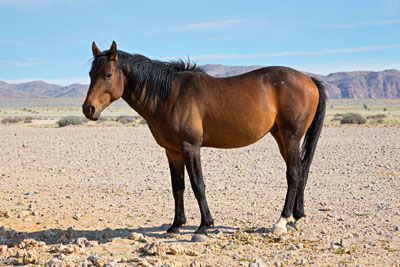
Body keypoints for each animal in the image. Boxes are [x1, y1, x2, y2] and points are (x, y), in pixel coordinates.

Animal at [83, 41, 326, 243]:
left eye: (107, 74)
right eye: (90, 74)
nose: (88, 109)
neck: (170, 95)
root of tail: (309, 80)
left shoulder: (190, 147)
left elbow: (198, 185)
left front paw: (203, 227)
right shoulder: (172, 151)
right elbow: (178, 187)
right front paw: (176, 225)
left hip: (291, 136)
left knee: (293, 174)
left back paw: (282, 221)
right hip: (280, 137)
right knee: (300, 171)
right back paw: (295, 218)